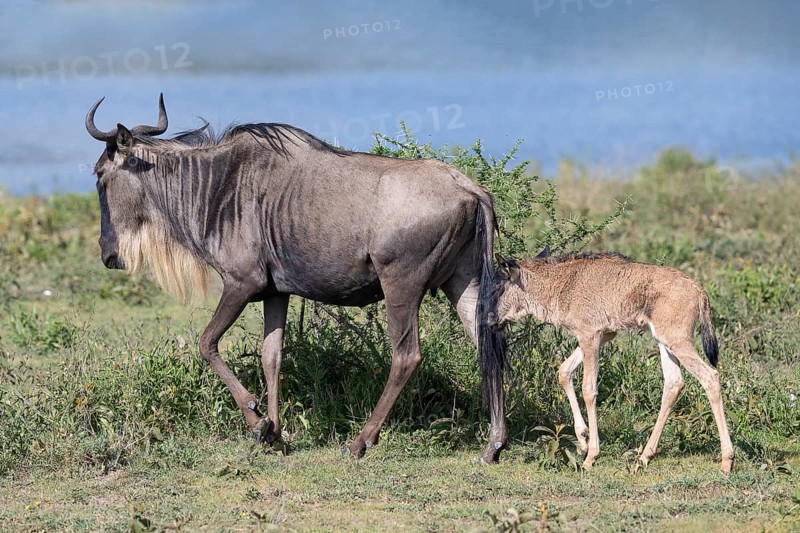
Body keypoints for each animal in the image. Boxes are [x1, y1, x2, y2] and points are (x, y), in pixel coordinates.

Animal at [488, 248, 734, 472]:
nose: (490, 321)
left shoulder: (589, 335)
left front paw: (591, 456)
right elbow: (564, 371)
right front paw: (583, 440)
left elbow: (588, 389)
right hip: (664, 343)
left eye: (498, 288)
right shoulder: (603, 335)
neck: (566, 283)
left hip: (678, 342)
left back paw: (727, 461)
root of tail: (700, 291)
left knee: (710, 376)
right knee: (674, 383)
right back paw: (644, 457)